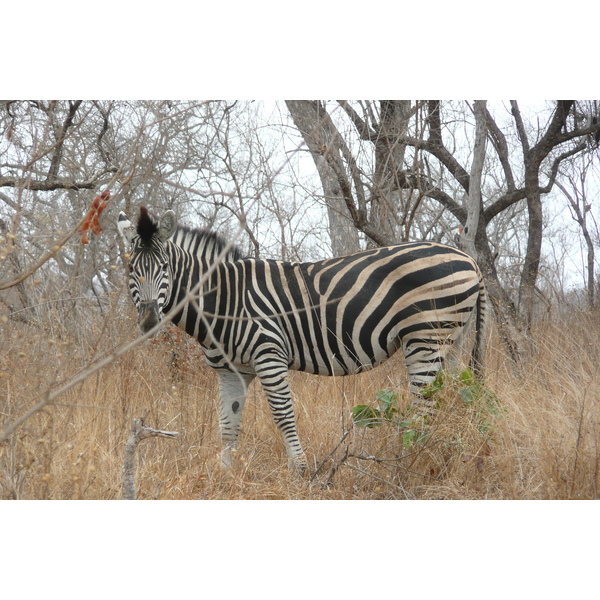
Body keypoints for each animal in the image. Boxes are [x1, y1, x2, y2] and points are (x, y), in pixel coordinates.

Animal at [117, 205, 488, 474]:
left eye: (165, 267)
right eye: (130, 270)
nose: (149, 321)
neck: (225, 300)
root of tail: (469, 259)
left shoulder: (268, 355)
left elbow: (283, 415)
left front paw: (299, 470)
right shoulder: (231, 370)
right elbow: (228, 424)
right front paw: (223, 475)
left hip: (426, 337)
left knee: (425, 407)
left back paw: (411, 460)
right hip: (451, 340)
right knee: (448, 399)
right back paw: (437, 454)